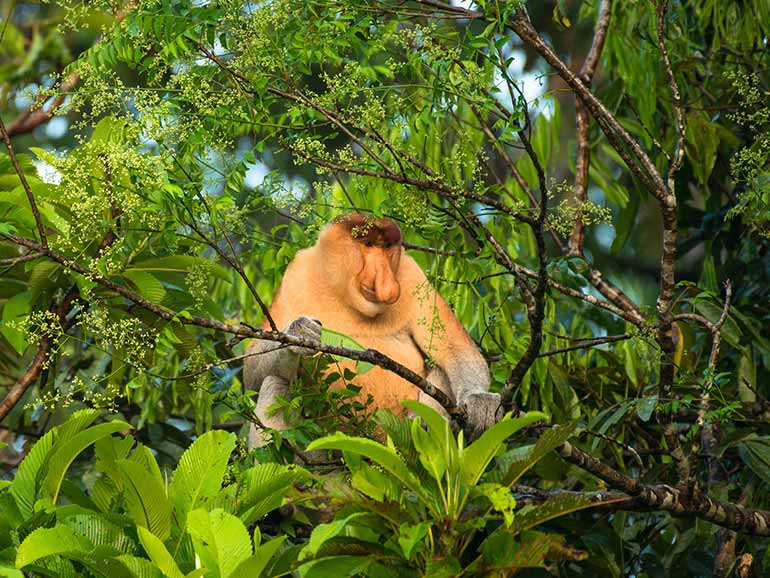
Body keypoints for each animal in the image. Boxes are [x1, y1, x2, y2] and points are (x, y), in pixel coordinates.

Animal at [243, 213, 499, 446]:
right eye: (367, 244)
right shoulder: (295, 275)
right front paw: (299, 331)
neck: (345, 297)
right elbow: (253, 374)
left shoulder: (411, 275)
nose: (385, 279)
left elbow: (456, 349)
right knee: (275, 383)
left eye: (386, 248)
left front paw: (480, 402)